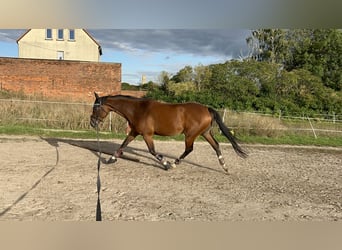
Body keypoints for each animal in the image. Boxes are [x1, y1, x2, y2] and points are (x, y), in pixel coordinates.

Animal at [89, 93, 247, 173]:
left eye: (95, 108)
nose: (92, 123)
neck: (138, 109)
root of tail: (206, 109)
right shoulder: (134, 132)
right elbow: (122, 145)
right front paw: (110, 159)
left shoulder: (147, 135)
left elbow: (152, 151)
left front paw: (166, 164)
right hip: (205, 133)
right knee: (216, 146)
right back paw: (224, 167)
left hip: (190, 135)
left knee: (189, 149)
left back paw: (174, 163)